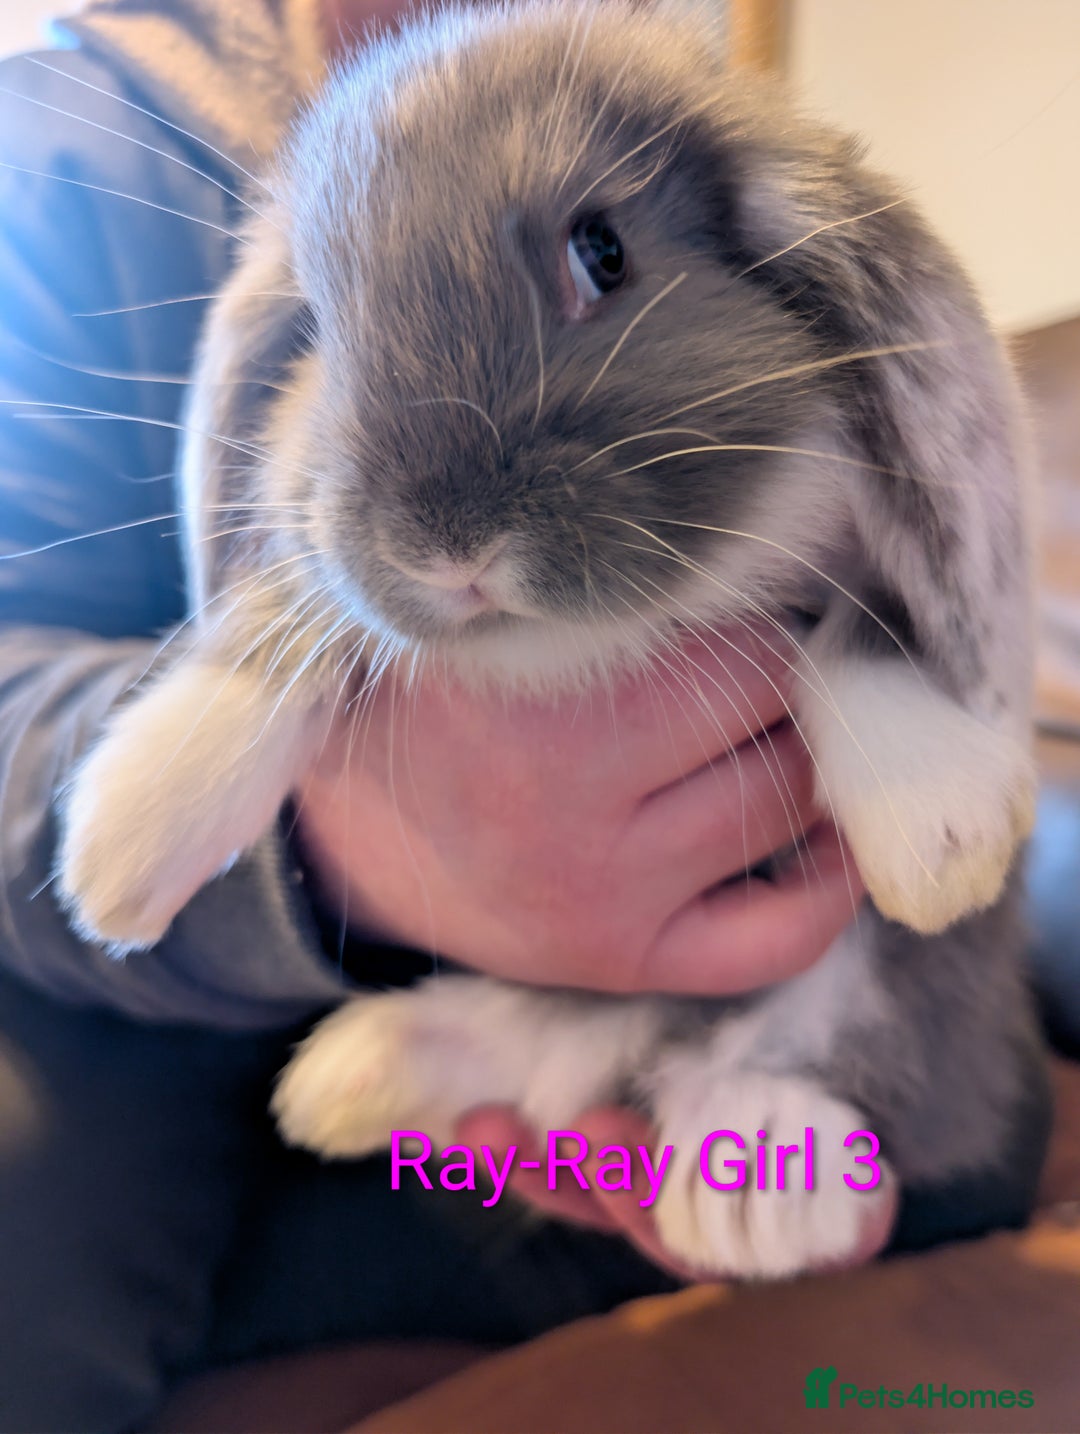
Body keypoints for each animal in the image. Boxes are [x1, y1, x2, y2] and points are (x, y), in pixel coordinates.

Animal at [56, 0, 1051, 1277]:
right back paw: (356, 1075)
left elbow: (866, 633)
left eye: (604, 252)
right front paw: (121, 850)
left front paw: (939, 837)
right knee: (526, 1037)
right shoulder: (324, 568)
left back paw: (762, 1174)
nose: (445, 544)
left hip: (874, 991)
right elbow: (284, 616)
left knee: (830, 1050)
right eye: (317, 327)